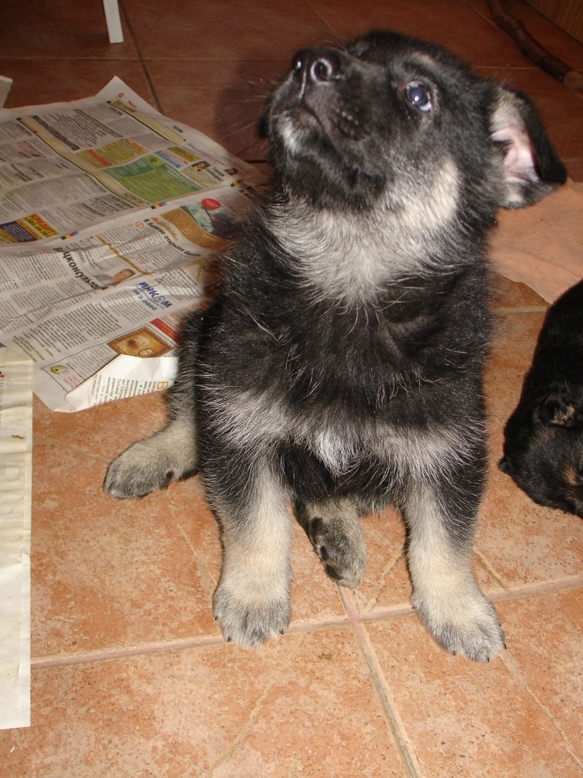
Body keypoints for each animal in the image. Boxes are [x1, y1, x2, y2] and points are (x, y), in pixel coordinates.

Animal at [104, 30, 564, 660]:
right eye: (351, 49)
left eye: (419, 95)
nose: (308, 63)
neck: (350, 282)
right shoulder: (240, 415)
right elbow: (258, 524)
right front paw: (254, 596)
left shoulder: (447, 447)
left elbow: (444, 543)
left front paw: (461, 611)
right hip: (202, 337)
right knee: (186, 417)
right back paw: (151, 457)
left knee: (327, 491)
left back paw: (338, 535)